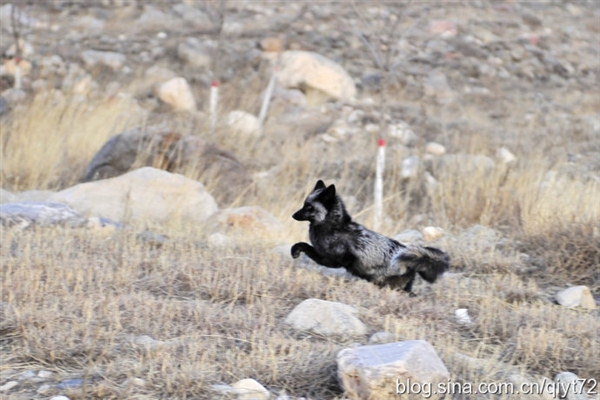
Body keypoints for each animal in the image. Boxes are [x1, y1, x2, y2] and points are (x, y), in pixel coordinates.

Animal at [290, 181, 450, 294]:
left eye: (309, 207)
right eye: (304, 204)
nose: (293, 215)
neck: (334, 228)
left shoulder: (332, 260)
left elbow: (305, 245)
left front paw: (295, 251)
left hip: (390, 286)